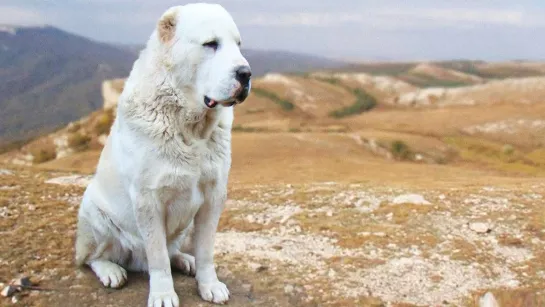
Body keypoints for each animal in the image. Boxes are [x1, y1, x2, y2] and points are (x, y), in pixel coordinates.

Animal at [74, 3, 251, 307]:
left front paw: (209, 284)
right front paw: (163, 294)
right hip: (93, 212)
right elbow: (157, 258)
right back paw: (111, 271)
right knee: (92, 258)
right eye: (211, 44)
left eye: (237, 45)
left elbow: (206, 250)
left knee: (173, 251)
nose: (246, 73)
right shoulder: (149, 200)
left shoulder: (213, 196)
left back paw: (185, 260)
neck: (191, 128)